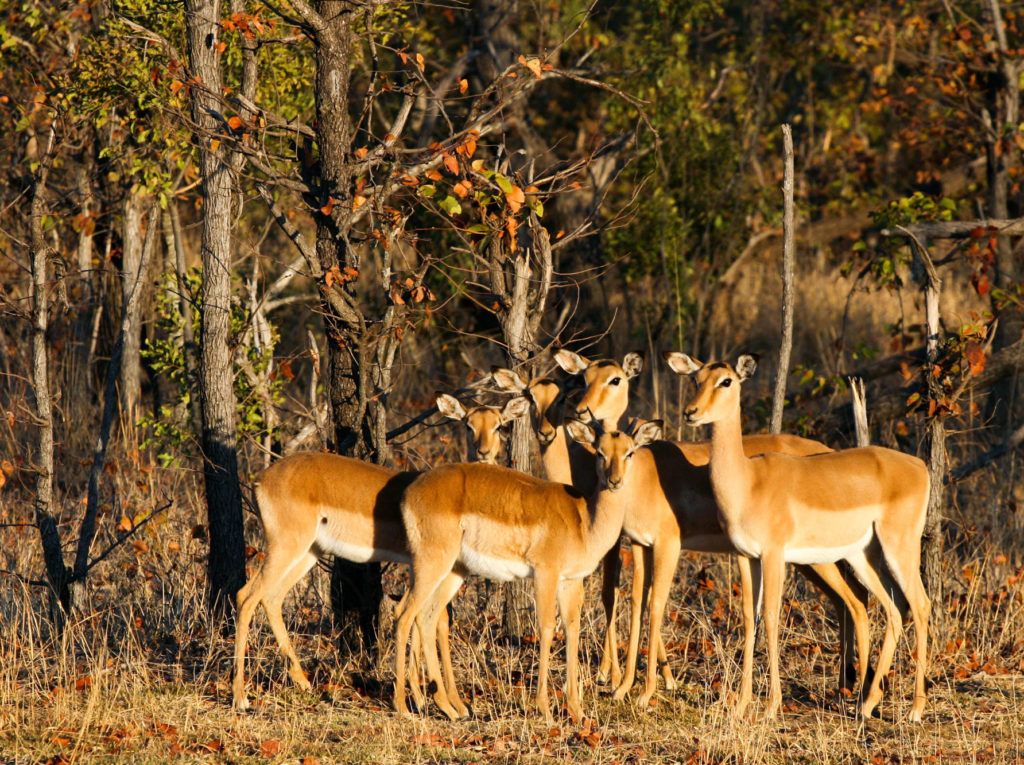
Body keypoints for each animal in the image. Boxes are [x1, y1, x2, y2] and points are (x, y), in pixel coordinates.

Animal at [393, 419, 665, 723]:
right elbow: (546, 628)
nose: (614, 481)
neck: (584, 522)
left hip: (452, 570)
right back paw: (404, 707)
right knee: (404, 615)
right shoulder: (546, 574)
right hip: (432, 563)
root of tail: (410, 493)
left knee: (426, 618)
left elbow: (572, 628)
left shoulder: (570, 580)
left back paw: (450, 708)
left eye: (629, 452)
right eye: (599, 452)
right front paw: (545, 709)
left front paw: (577, 711)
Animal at [554, 349, 870, 711]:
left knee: (856, 600)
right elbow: (635, 603)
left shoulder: (668, 544)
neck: (643, 473)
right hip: (810, 560)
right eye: (584, 377)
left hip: (815, 558)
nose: (581, 409)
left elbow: (655, 603)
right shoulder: (639, 544)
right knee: (847, 601)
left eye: (615, 379)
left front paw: (647, 690)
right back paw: (845, 685)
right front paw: (624, 687)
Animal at [666, 352, 930, 721]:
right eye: (695, 378)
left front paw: (770, 706)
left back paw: (915, 709)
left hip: (898, 548)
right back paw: (867, 704)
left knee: (919, 605)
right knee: (892, 608)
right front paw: (741, 704)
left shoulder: (774, 555)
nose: (691, 412)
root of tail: (920, 466)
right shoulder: (746, 557)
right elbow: (750, 619)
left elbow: (772, 618)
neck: (748, 482)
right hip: (862, 555)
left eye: (726, 381)